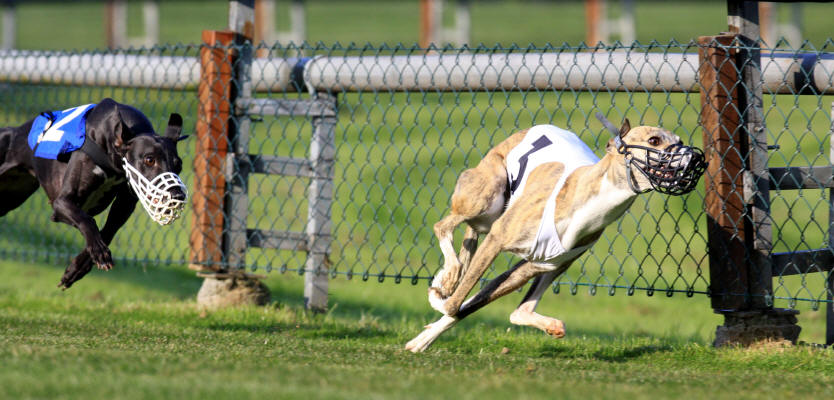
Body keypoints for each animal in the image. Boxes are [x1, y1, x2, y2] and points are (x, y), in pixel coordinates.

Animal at [0, 98, 188, 289]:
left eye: (179, 165)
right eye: (149, 159)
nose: (177, 196)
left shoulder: (124, 205)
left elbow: (108, 230)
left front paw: (79, 267)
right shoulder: (62, 203)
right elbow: (87, 219)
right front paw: (97, 250)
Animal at [405, 115, 706, 352]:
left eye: (679, 139)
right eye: (654, 140)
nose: (695, 159)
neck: (591, 203)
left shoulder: (536, 266)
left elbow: (485, 306)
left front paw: (422, 339)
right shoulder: (497, 239)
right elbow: (454, 305)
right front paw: (439, 293)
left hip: (537, 257)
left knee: (511, 300)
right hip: (486, 195)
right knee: (444, 226)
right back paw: (449, 274)